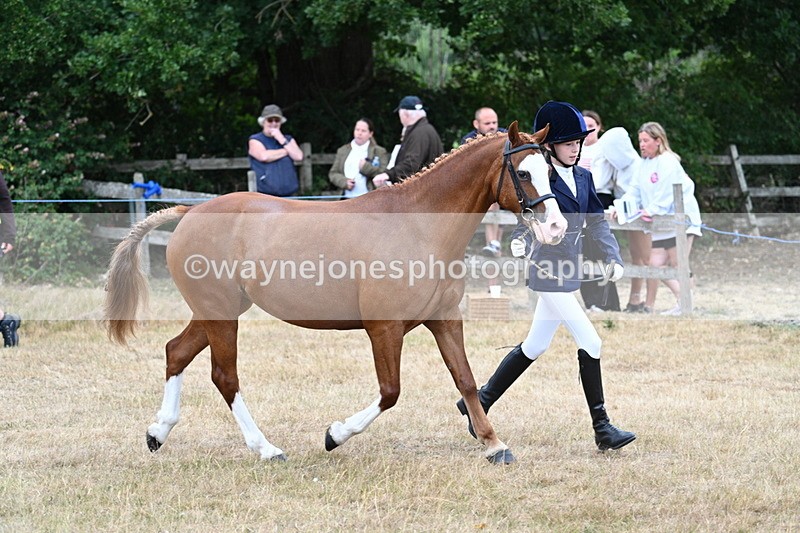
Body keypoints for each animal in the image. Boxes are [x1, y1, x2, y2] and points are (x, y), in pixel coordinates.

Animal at [104, 121, 567, 464]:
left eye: (552, 171)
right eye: (523, 173)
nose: (556, 227)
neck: (419, 226)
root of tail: (192, 210)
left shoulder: (444, 320)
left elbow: (467, 381)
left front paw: (493, 444)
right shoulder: (384, 329)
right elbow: (390, 392)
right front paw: (335, 435)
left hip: (217, 311)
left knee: (176, 352)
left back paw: (157, 433)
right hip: (220, 314)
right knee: (224, 376)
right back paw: (266, 449)